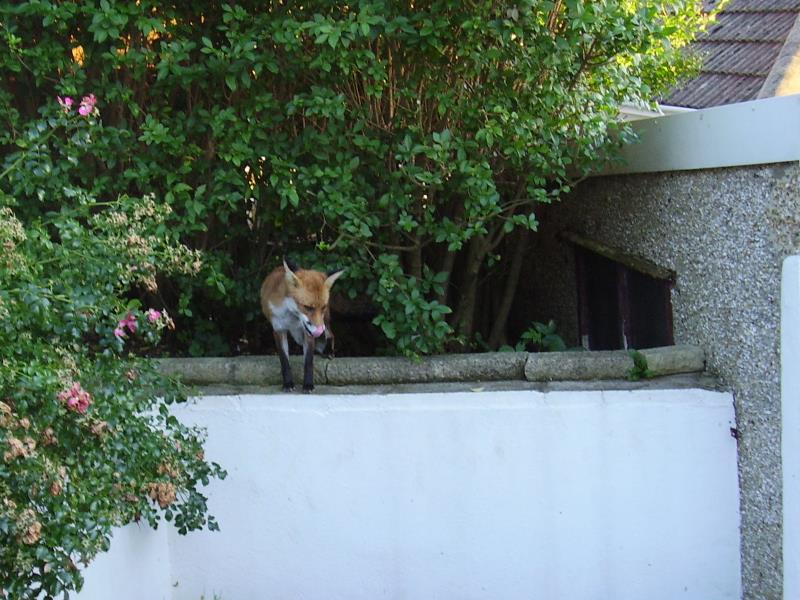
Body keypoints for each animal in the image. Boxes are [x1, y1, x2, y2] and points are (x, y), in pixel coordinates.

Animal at [258, 258, 342, 394]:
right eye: (307, 307)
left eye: (322, 307)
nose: (319, 330)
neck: (291, 317)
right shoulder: (278, 329)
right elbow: (284, 361)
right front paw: (288, 383)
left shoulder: (308, 332)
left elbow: (308, 362)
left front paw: (308, 385)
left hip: (325, 322)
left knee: (331, 335)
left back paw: (328, 351)